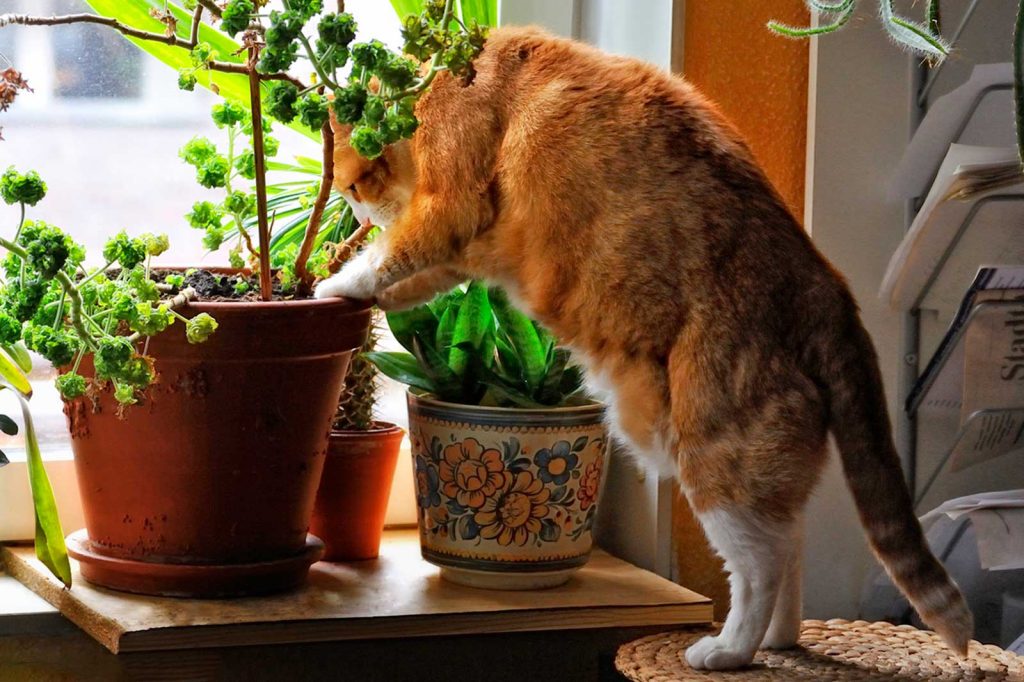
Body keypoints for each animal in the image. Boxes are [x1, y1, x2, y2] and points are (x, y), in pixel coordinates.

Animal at [315, 25, 970, 663]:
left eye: (353, 182)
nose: (355, 210)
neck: (436, 79)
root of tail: (827, 285)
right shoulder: (458, 252)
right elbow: (412, 280)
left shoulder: (448, 206)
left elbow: (389, 260)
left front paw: (333, 283)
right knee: (790, 543)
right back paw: (779, 642)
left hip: (713, 451)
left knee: (760, 563)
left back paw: (730, 650)